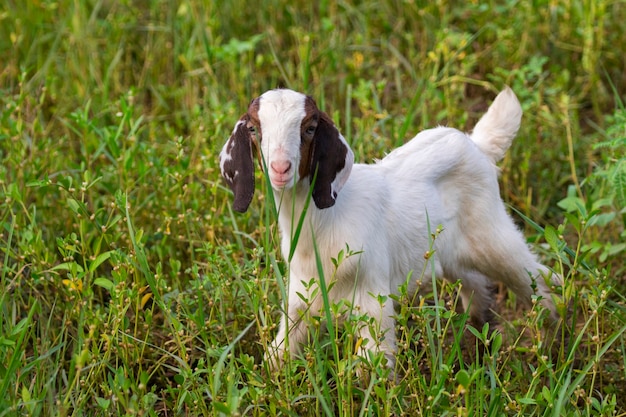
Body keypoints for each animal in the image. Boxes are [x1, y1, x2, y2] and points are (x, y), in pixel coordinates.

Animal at [218, 86, 556, 368]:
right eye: (253, 129)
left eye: (310, 128)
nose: (280, 169)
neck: (324, 221)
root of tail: (476, 144)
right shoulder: (300, 300)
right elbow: (279, 354)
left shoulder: (374, 305)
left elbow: (373, 373)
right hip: (452, 253)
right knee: (474, 281)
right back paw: (478, 336)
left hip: (492, 235)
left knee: (541, 277)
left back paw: (553, 335)